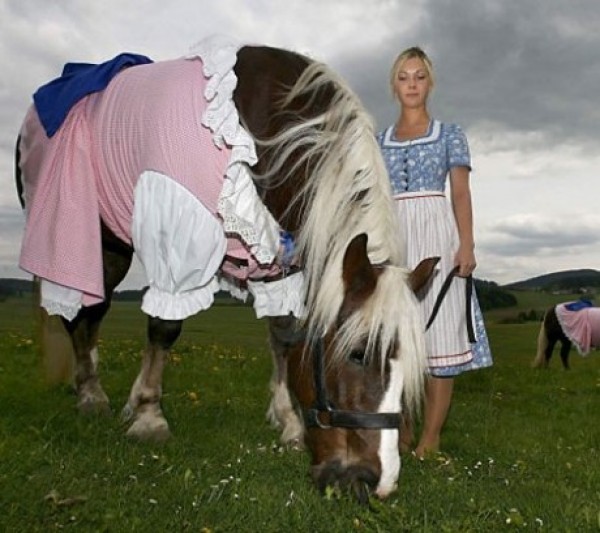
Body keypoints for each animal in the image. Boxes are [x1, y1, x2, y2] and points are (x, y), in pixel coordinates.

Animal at [15, 34, 436, 498]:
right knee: (85, 312)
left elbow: (283, 338)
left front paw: (287, 421)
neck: (263, 132)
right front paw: (148, 415)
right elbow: (165, 325)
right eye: (359, 354)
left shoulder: (280, 266)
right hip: (85, 239)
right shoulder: (180, 233)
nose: (376, 481)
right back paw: (91, 394)